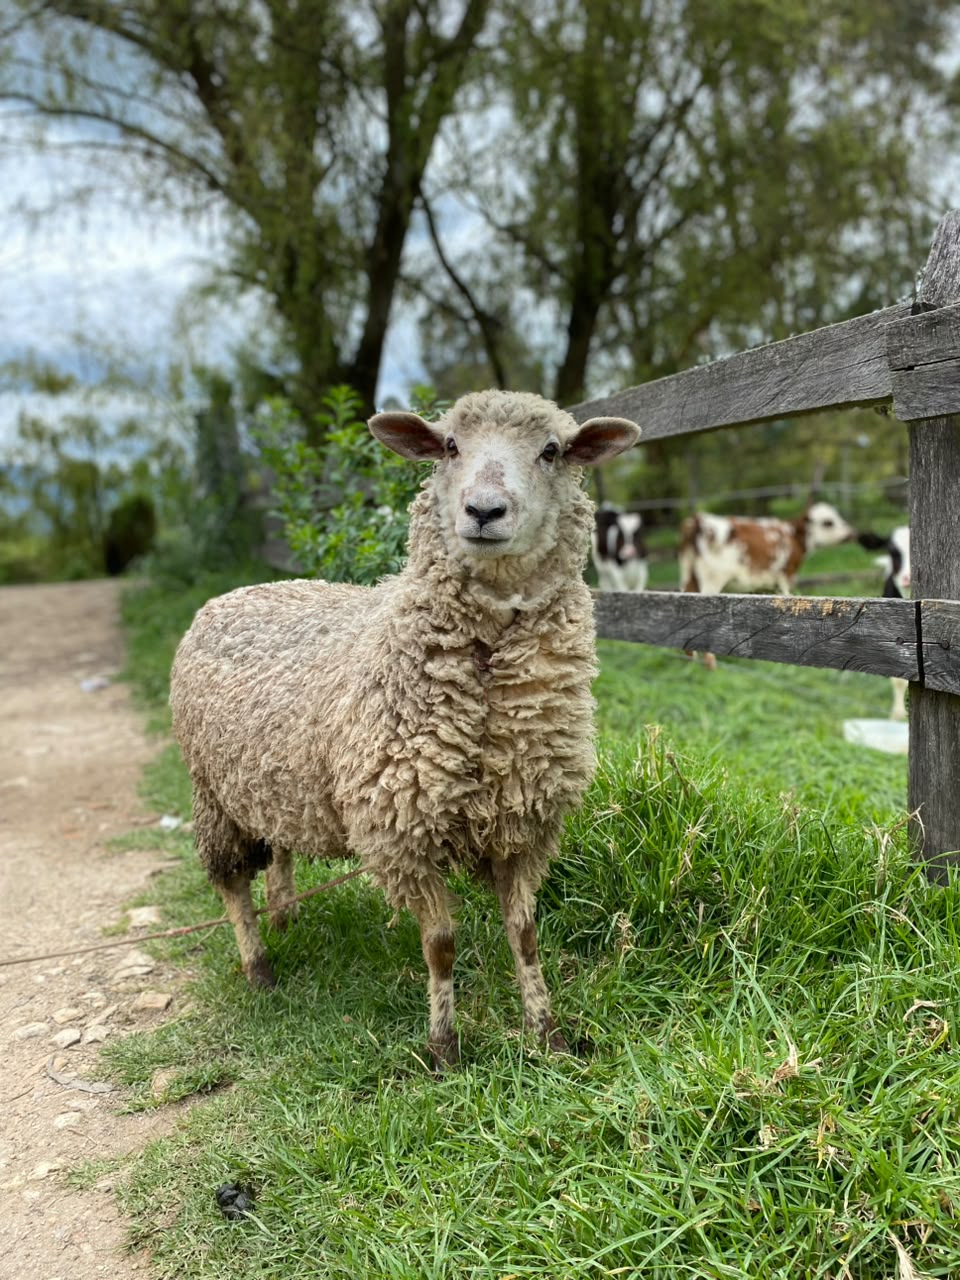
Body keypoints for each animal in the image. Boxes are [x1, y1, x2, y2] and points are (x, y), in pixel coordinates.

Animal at [170, 390, 640, 1068]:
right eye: (449, 446)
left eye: (551, 451)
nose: (483, 510)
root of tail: (239, 590)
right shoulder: (401, 830)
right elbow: (440, 944)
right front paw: (443, 1048)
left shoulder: (525, 823)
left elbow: (525, 935)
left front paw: (547, 1034)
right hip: (212, 795)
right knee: (232, 884)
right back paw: (259, 967)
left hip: (271, 781)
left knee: (280, 849)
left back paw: (285, 916)